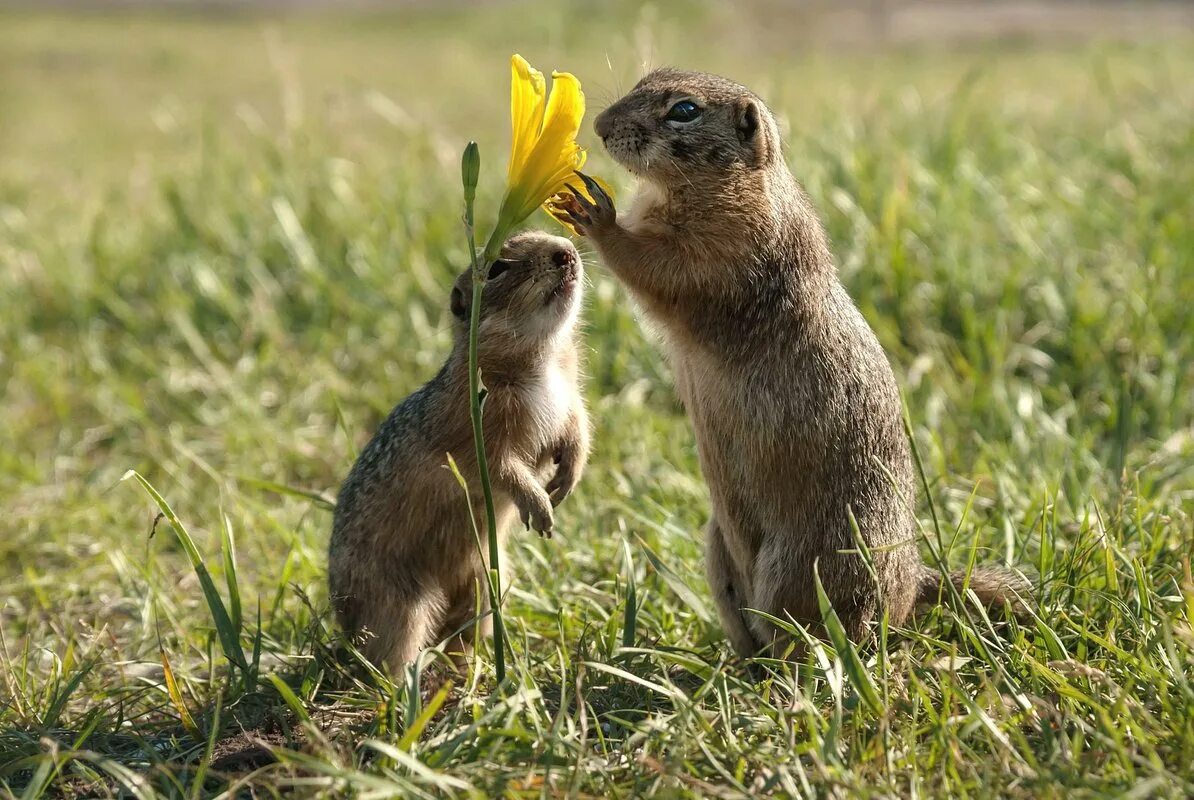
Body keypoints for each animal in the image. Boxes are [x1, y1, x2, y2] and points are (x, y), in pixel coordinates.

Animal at [329, 234, 589, 678]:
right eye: (497, 268)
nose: (566, 252)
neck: (542, 358)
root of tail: (342, 624)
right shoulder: (477, 430)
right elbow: (503, 468)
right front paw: (540, 509)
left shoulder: (569, 396)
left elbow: (578, 431)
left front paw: (566, 481)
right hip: (401, 603)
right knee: (387, 654)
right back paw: (408, 684)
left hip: (485, 584)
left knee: (462, 634)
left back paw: (471, 668)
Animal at [554, 68, 1031, 659]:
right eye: (645, 79)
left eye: (684, 110)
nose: (599, 125)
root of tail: (915, 581)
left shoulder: (726, 250)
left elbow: (655, 268)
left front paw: (596, 213)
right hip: (717, 548)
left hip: (802, 566)